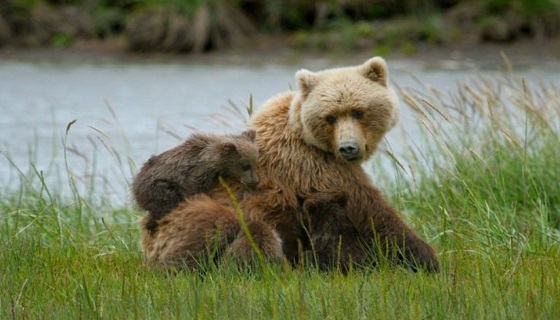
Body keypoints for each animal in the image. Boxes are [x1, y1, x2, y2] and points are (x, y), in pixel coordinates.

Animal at [132, 129, 260, 234]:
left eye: (254, 163)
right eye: (245, 165)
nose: (255, 181)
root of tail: (135, 184)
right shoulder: (196, 172)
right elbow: (192, 189)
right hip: (158, 187)